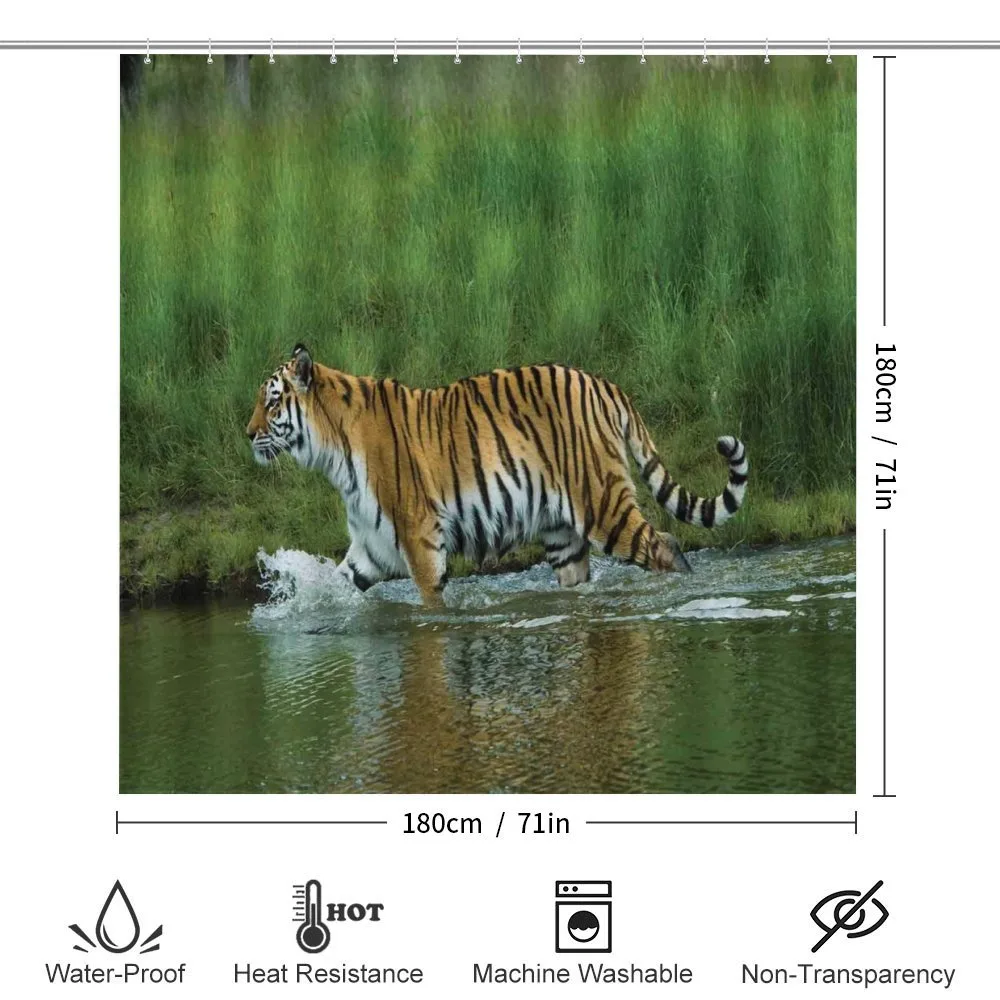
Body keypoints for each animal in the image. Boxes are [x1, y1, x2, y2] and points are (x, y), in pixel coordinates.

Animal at [246, 345, 748, 607]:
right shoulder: (372, 545)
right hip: (562, 532)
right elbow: (337, 583)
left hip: (602, 502)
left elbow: (432, 605)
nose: (247, 433)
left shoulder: (419, 539)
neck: (332, 455)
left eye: (272, 401)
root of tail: (605, 384)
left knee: (664, 545)